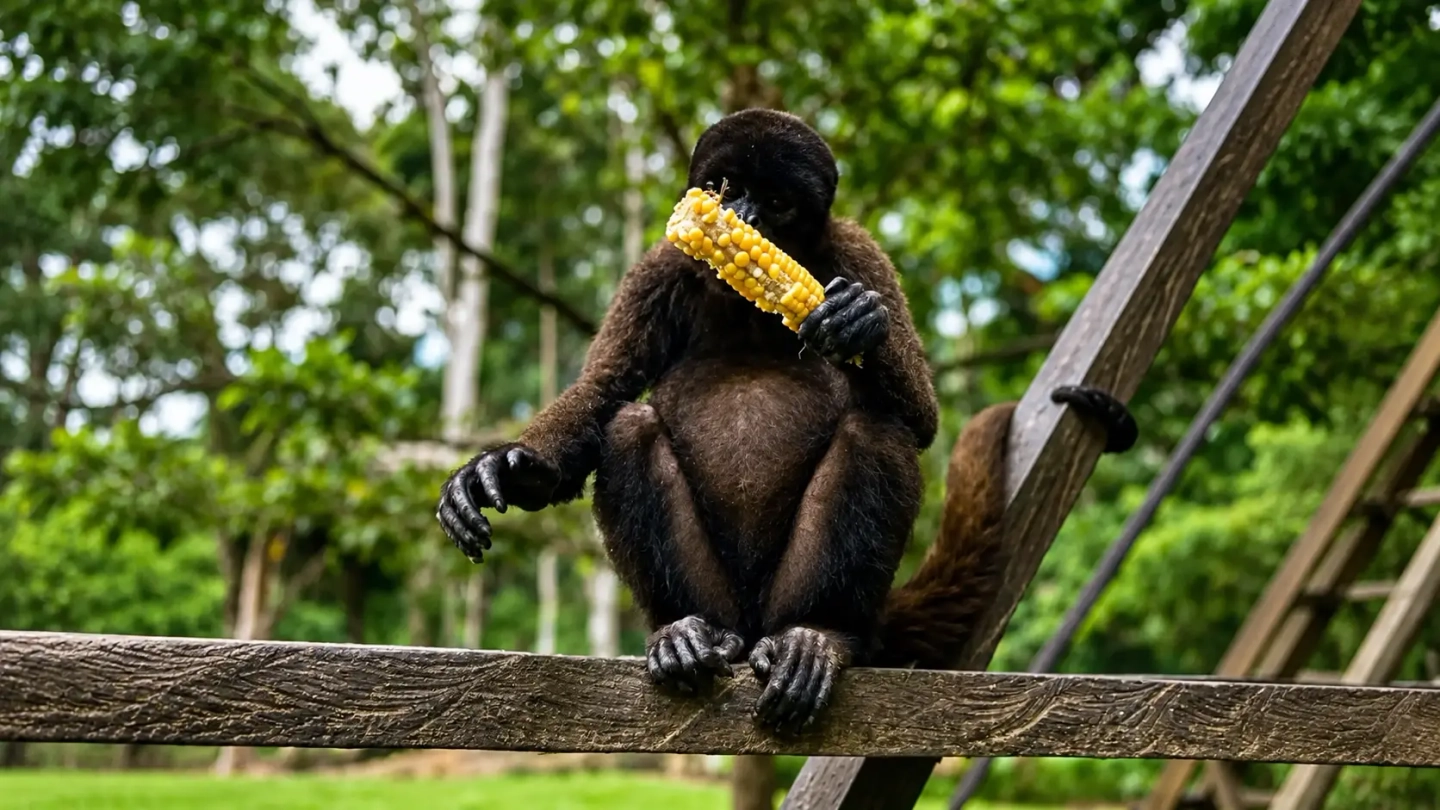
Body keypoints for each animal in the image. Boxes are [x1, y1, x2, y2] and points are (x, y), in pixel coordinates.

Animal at [435, 109, 1137, 734]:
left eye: (774, 200)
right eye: (725, 187)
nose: (741, 217)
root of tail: (750, 630)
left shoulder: (857, 252)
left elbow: (922, 420)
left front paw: (860, 323)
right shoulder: (658, 266)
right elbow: (605, 391)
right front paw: (508, 468)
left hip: (796, 598)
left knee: (874, 430)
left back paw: (818, 637)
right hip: (717, 598)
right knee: (630, 428)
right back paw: (681, 633)